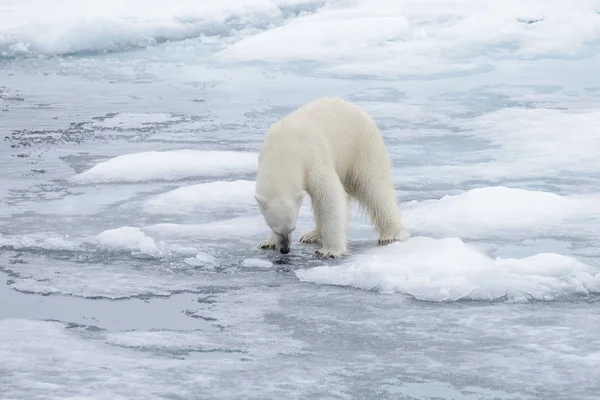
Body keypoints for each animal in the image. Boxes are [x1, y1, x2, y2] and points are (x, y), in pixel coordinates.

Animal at [253, 98, 408, 258]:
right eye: (274, 228)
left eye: (293, 228)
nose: (285, 249)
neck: (284, 150)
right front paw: (267, 242)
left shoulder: (312, 157)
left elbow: (329, 194)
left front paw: (329, 251)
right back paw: (312, 235)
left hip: (361, 146)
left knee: (374, 186)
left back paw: (391, 234)